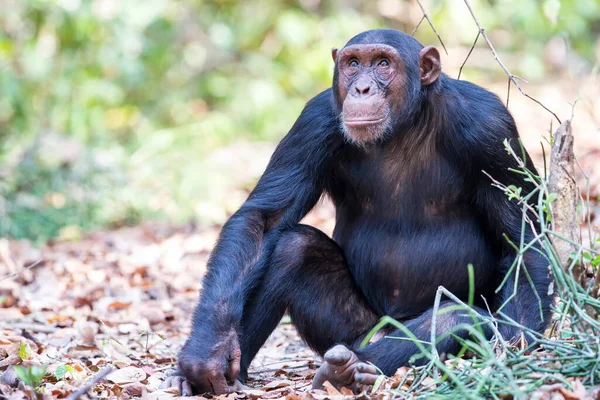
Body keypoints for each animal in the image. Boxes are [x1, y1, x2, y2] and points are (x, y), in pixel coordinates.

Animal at [163, 29, 552, 396]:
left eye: (382, 63)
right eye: (352, 64)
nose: (362, 87)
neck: (404, 128)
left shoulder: (490, 126)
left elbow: (524, 239)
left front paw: (515, 341)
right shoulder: (313, 120)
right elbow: (263, 219)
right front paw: (208, 350)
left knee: (454, 318)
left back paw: (354, 370)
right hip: (352, 330)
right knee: (293, 248)